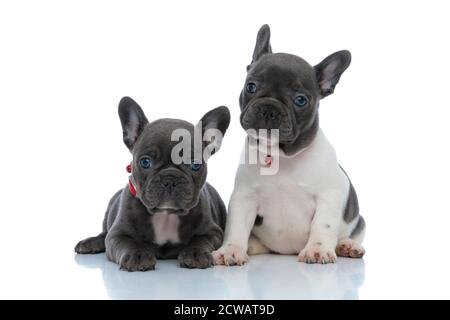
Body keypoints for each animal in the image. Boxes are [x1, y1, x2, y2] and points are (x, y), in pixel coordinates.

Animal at [75, 97, 230, 270]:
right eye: (145, 162)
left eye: (195, 165)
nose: (170, 179)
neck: (166, 215)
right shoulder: (117, 234)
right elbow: (128, 243)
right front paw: (138, 255)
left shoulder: (213, 232)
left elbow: (201, 240)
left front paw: (195, 253)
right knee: (103, 234)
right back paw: (90, 243)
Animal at [213, 24, 364, 264]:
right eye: (251, 86)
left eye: (300, 100)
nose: (269, 108)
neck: (281, 157)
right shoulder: (244, 198)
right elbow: (236, 227)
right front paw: (231, 250)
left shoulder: (329, 195)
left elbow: (323, 224)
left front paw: (318, 249)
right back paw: (250, 246)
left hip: (359, 221)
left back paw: (347, 246)